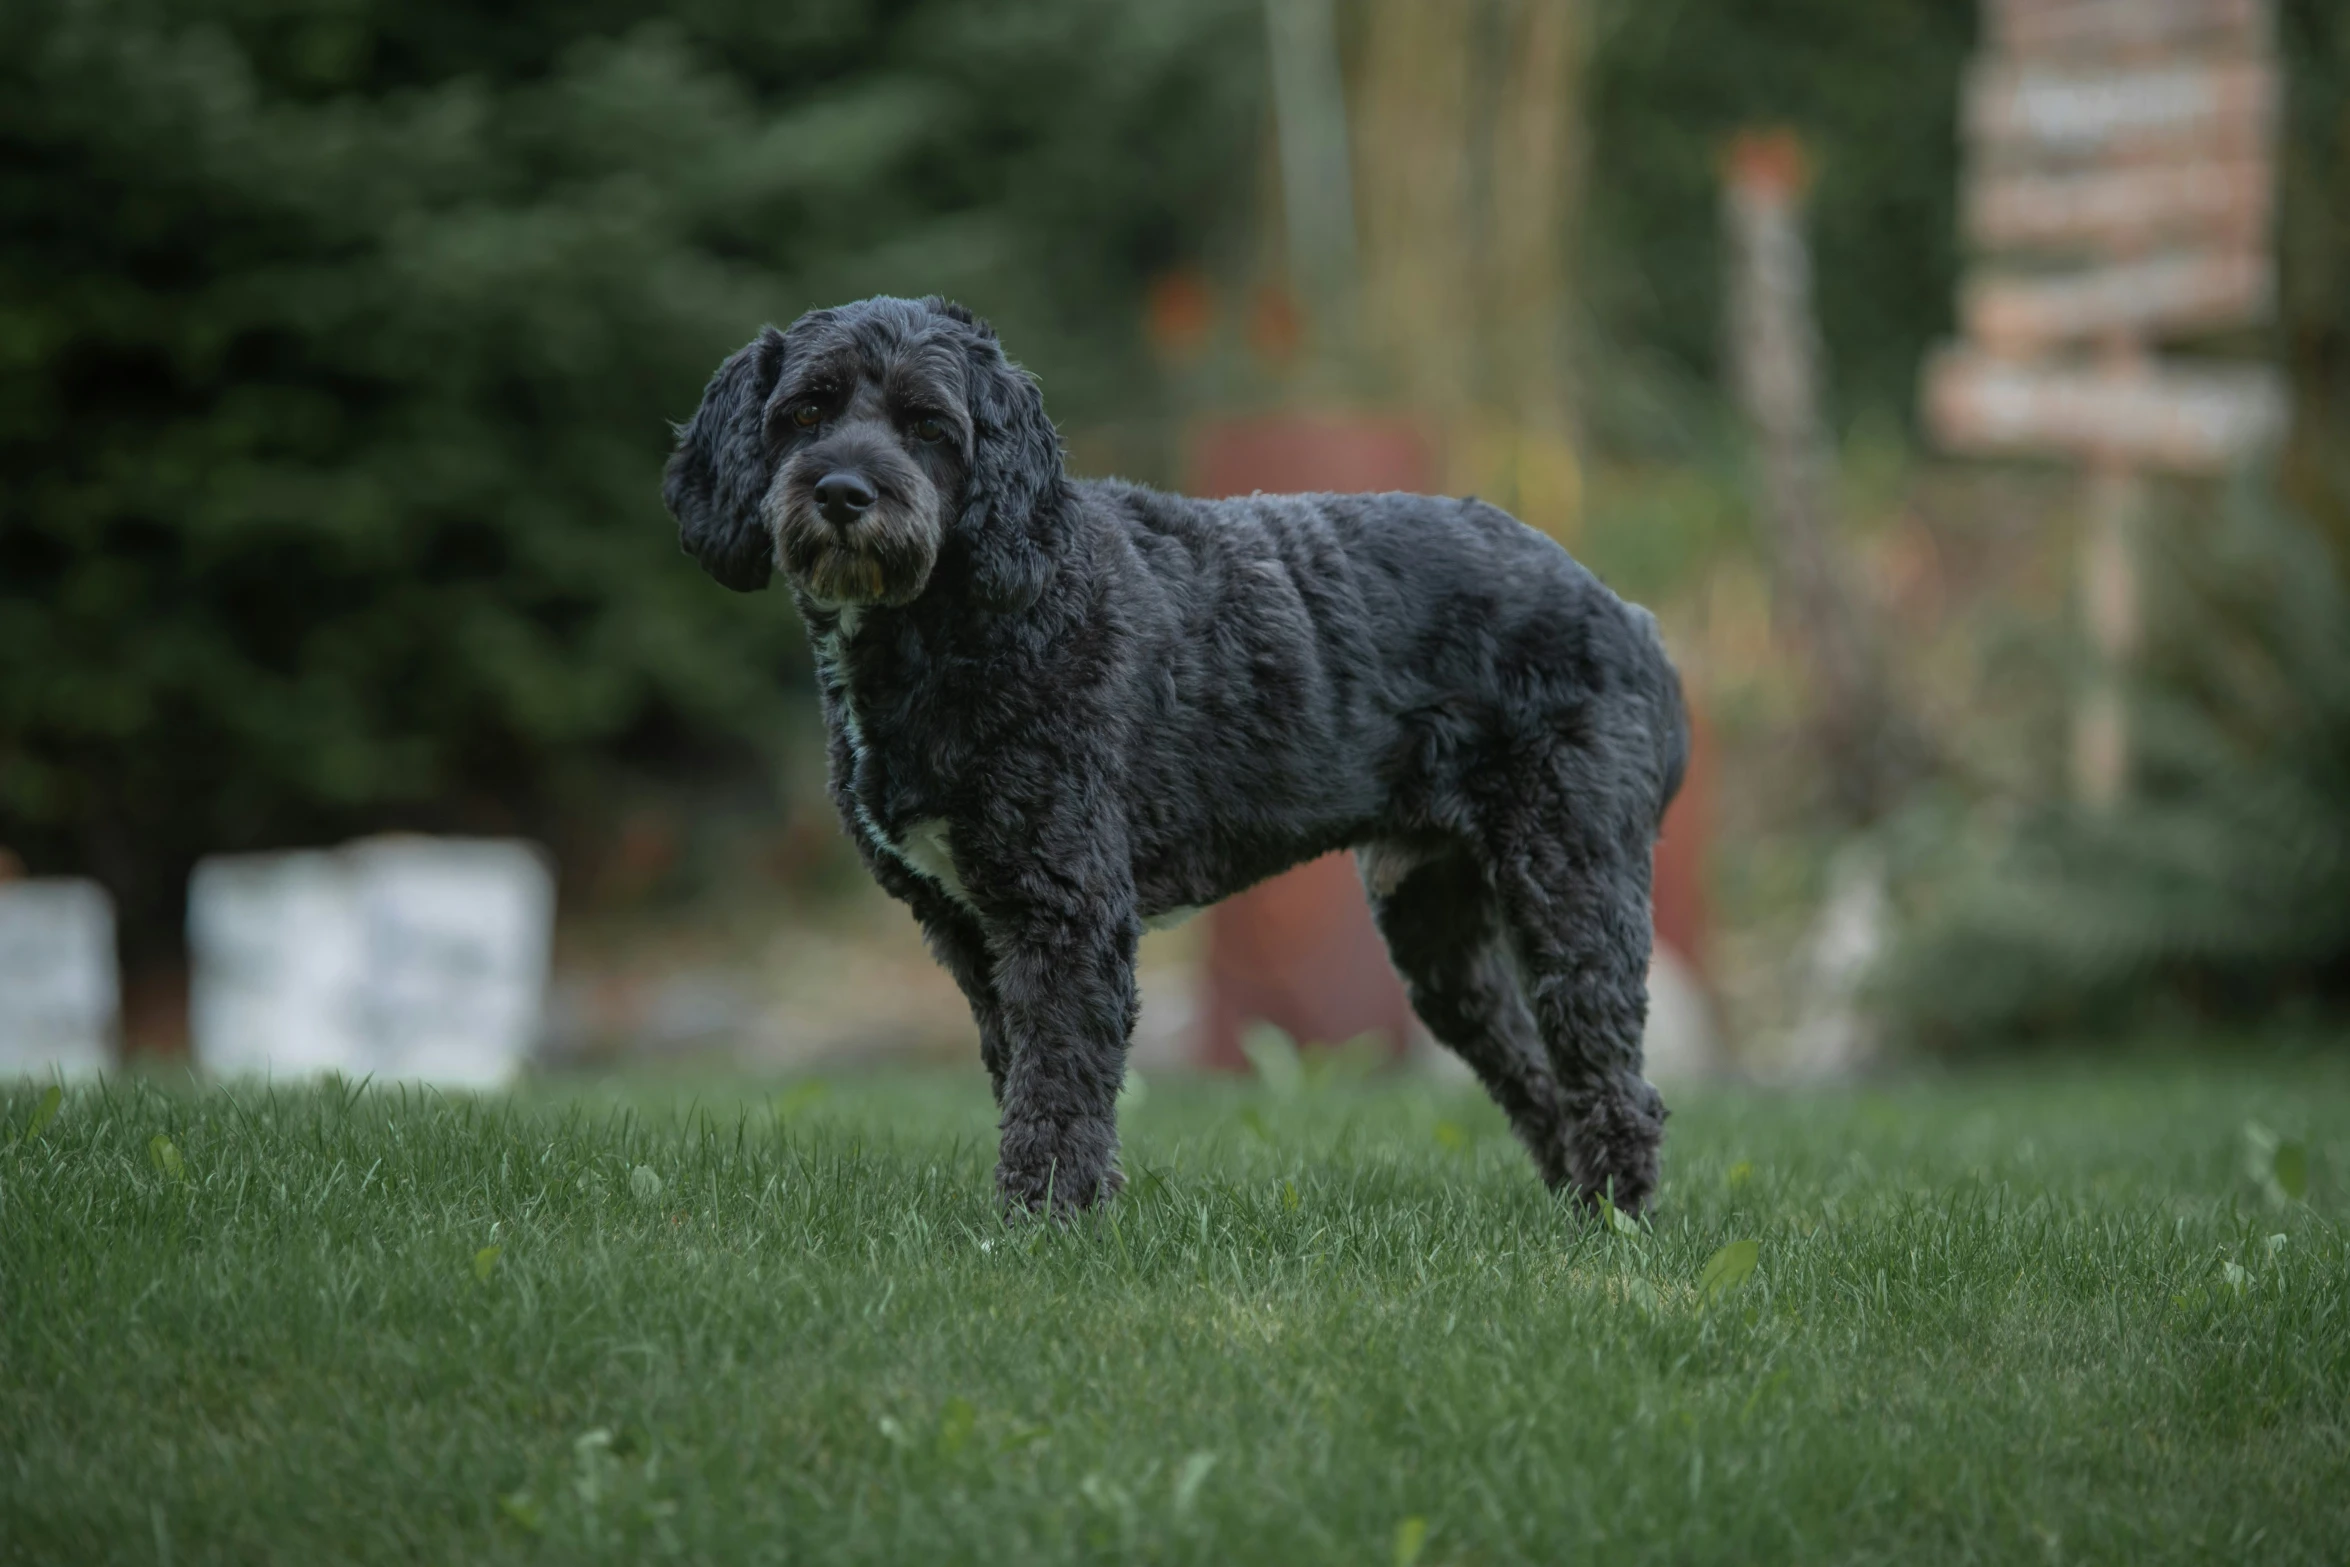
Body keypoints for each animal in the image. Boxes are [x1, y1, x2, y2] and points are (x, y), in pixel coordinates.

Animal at [662, 300, 1691, 1221]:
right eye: (807, 410)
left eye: (929, 426)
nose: (842, 491)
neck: (982, 613)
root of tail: (1630, 615)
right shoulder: (971, 930)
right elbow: (1026, 1072)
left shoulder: (1067, 912)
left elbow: (1060, 1081)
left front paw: (1042, 1222)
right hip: (1438, 929)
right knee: (1535, 1066)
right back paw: (1576, 1208)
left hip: (1570, 878)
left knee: (1610, 1071)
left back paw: (1617, 1217)